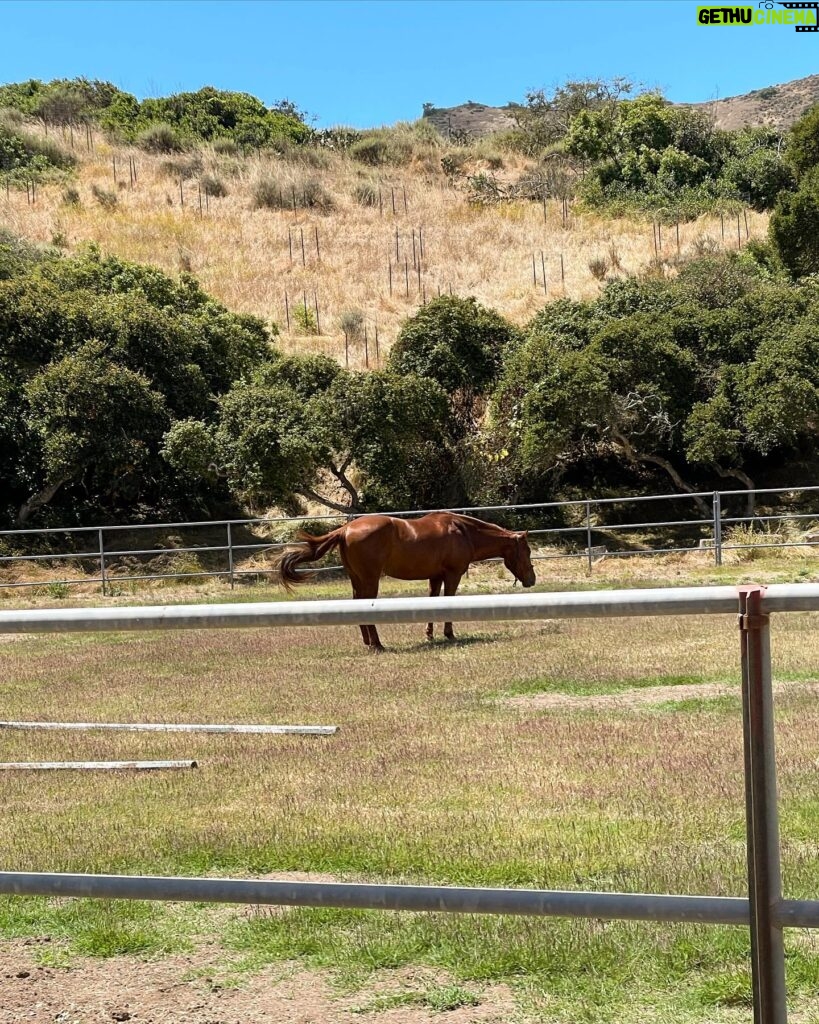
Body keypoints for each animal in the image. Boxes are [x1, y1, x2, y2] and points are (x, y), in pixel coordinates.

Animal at [274, 512, 536, 655]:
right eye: (527, 551)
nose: (532, 580)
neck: (463, 531)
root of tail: (346, 529)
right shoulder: (452, 575)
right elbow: (448, 601)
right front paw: (449, 634)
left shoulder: (435, 577)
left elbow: (433, 602)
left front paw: (430, 635)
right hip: (369, 580)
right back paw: (377, 644)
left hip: (357, 579)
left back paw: (368, 643)